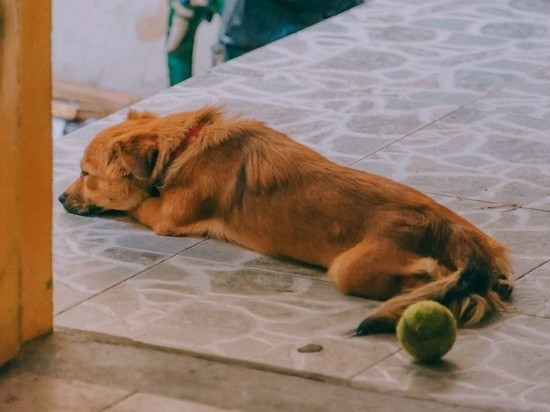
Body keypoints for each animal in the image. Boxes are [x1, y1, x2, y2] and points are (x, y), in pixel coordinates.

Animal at [58, 107, 516, 334]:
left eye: (85, 174)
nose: (60, 198)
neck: (186, 143)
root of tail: (451, 231)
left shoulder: (166, 216)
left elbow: (137, 203)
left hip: (349, 268)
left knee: (432, 278)